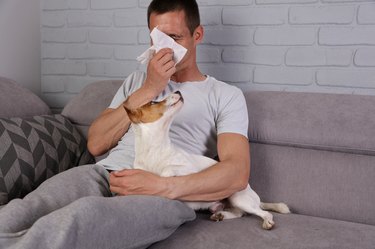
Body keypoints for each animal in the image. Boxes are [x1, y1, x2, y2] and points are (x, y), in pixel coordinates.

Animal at [124, 91, 290, 230]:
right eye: (153, 102)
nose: (178, 91)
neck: (155, 148)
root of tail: (254, 196)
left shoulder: (188, 169)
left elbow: (169, 168)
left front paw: (163, 176)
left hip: (238, 197)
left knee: (263, 212)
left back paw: (267, 221)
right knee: (239, 213)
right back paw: (221, 215)